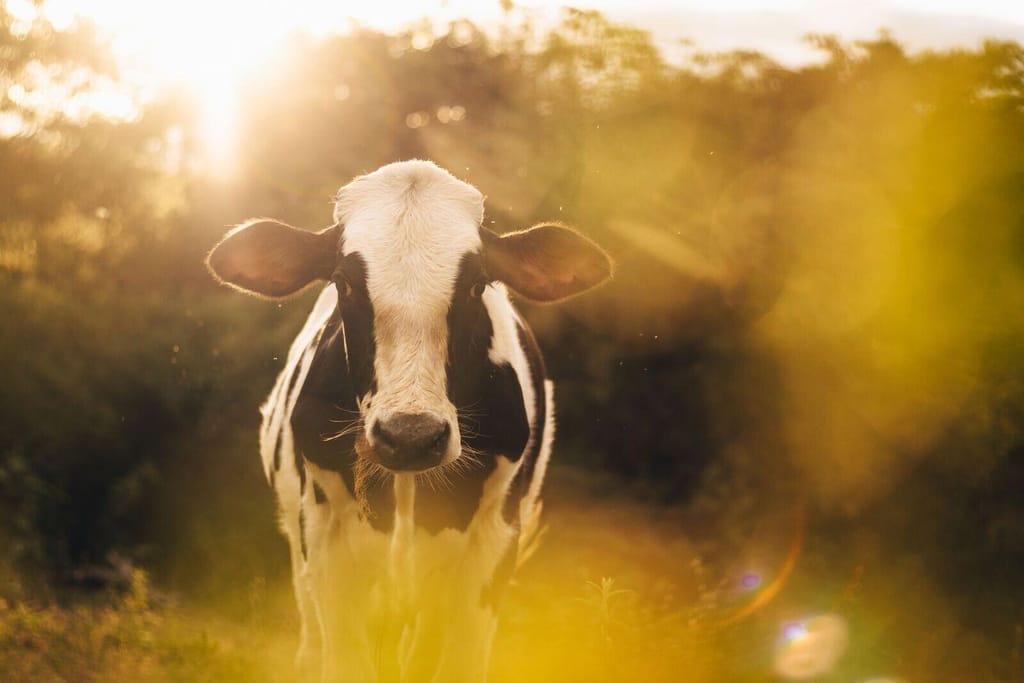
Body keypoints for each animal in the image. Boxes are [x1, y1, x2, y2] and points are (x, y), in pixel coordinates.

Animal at [206, 160, 612, 682]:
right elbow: (345, 660)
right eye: (343, 282)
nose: (411, 436)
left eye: (478, 283)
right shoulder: (324, 535)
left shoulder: (496, 538)